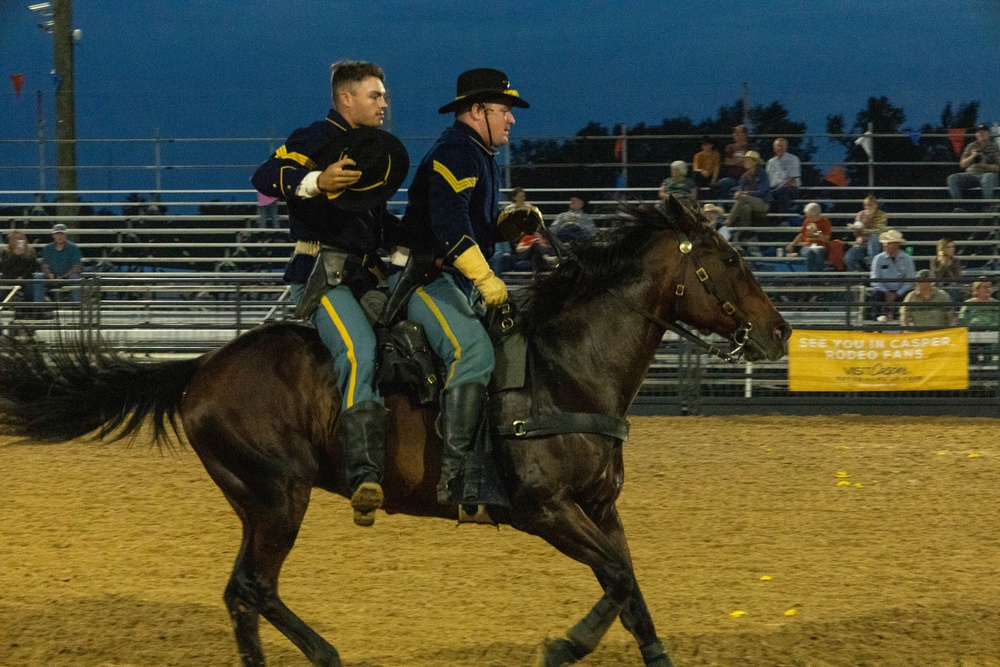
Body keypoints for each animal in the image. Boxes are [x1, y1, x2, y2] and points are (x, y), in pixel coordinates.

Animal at [0, 200, 788, 667]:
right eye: (729, 261)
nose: (779, 332)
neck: (568, 367)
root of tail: (202, 367)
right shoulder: (547, 512)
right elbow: (619, 579)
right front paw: (564, 645)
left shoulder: (599, 507)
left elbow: (627, 584)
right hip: (278, 496)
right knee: (252, 587)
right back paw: (324, 653)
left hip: (257, 501)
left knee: (242, 591)